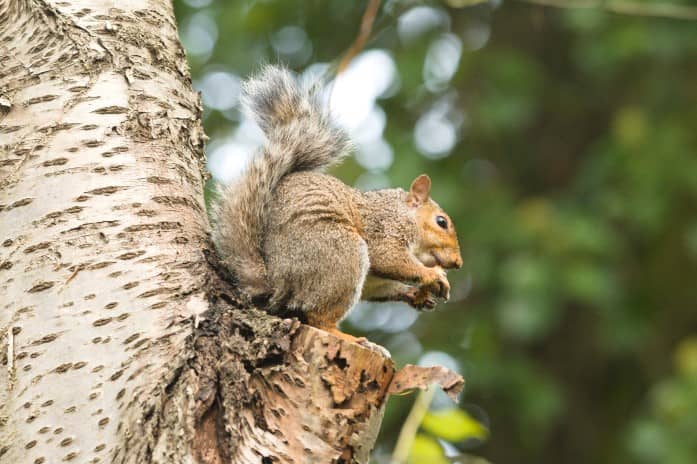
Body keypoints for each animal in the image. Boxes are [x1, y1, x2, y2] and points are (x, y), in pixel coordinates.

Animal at [212, 65, 462, 342]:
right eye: (441, 222)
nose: (458, 263)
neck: (403, 212)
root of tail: (275, 283)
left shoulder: (373, 280)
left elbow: (383, 286)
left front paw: (416, 295)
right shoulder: (385, 229)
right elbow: (389, 258)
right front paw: (432, 275)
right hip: (340, 254)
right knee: (318, 317)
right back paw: (349, 337)